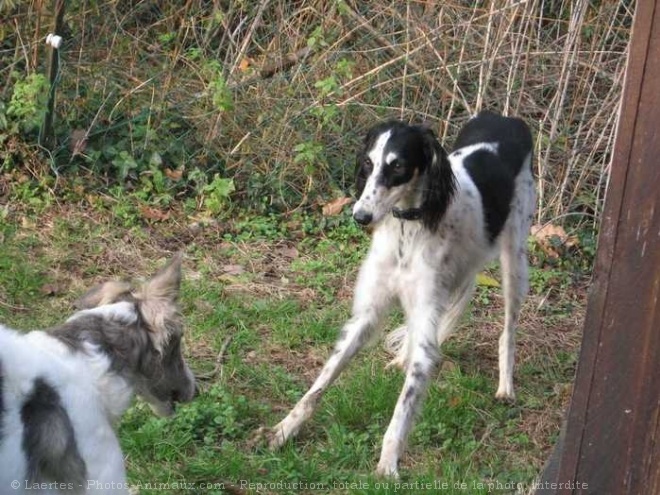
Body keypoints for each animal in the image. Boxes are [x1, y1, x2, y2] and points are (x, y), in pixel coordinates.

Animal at [260, 111, 532, 476]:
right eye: (368, 162)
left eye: (398, 166)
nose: (360, 216)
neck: (408, 228)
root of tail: (507, 117)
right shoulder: (368, 314)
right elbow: (321, 382)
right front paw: (284, 430)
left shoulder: (428, 309)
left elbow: (403, 407)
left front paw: (387, 465)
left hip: (514, 260)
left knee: (508, 330)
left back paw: (505, 386)